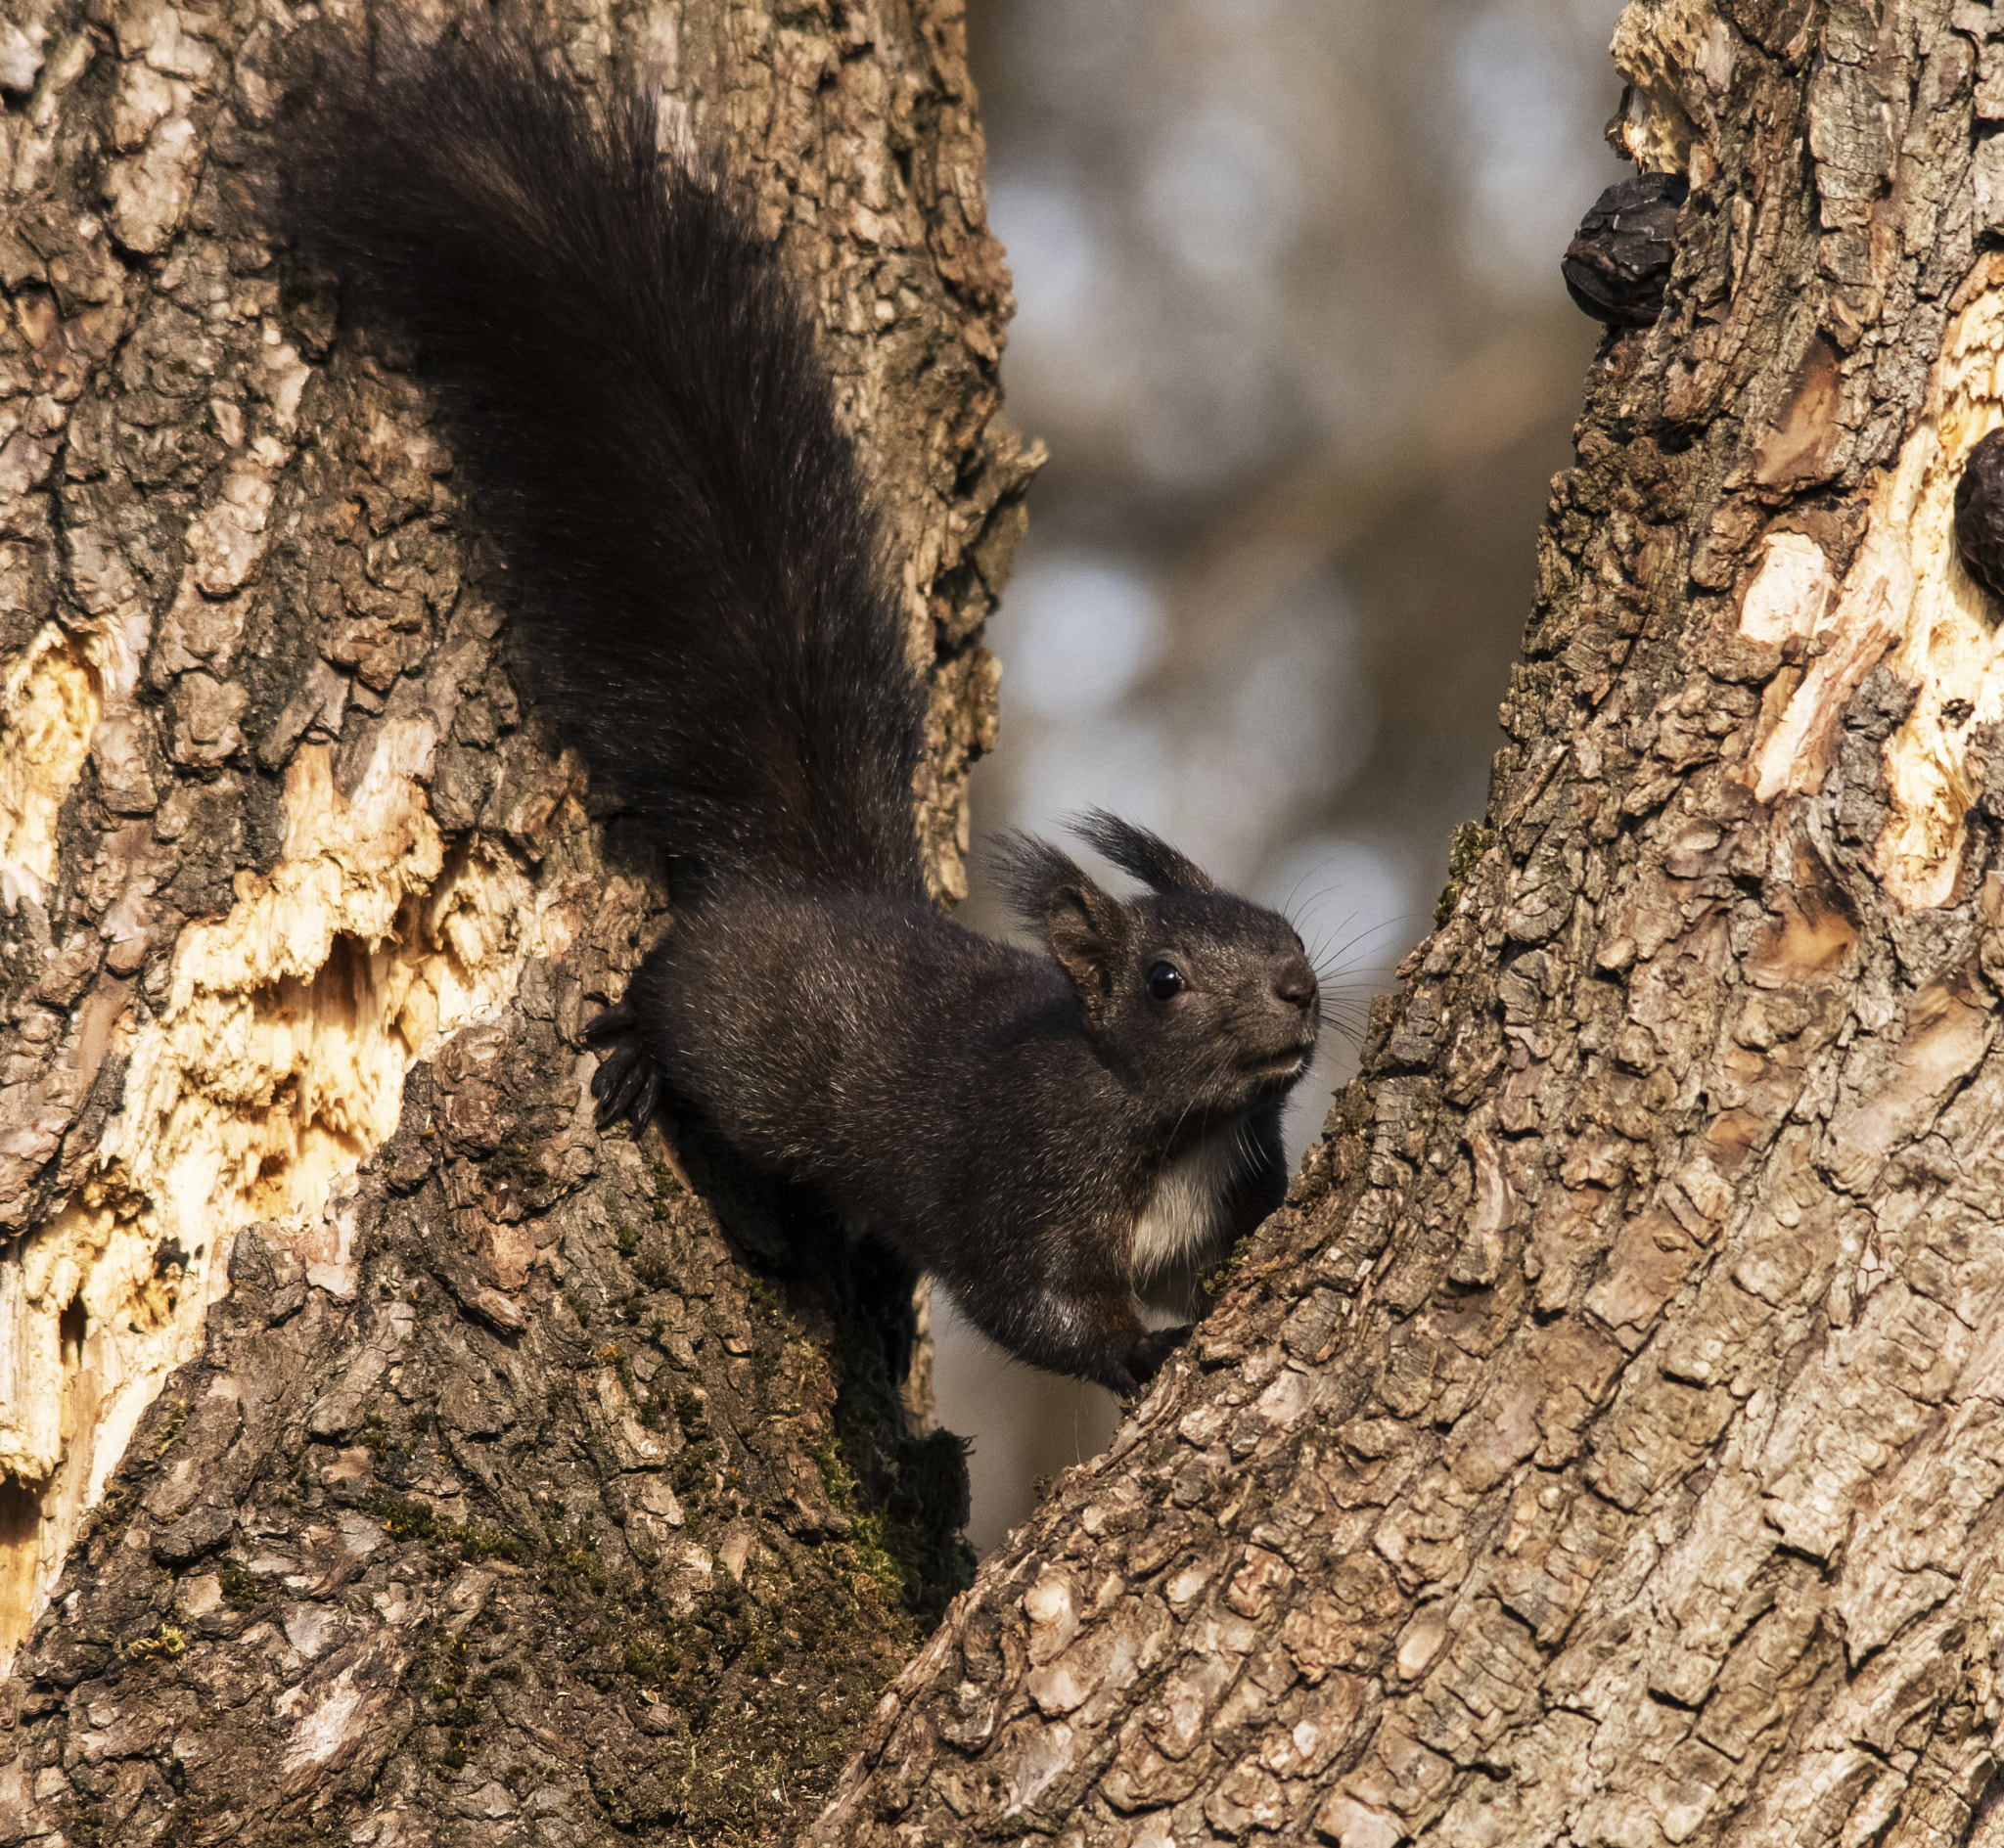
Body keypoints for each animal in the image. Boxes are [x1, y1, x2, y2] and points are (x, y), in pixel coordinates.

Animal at [278, 28, 1314, 1386]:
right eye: (1165, 979)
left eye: (1281, 925)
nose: (1299, 991)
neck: (1181, 1125)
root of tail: (808, 884)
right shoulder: (1021, 1179)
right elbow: (1032, 1305)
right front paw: (1141, 1355)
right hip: (738, 1037)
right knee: (672, 999)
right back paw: (640, 1053)